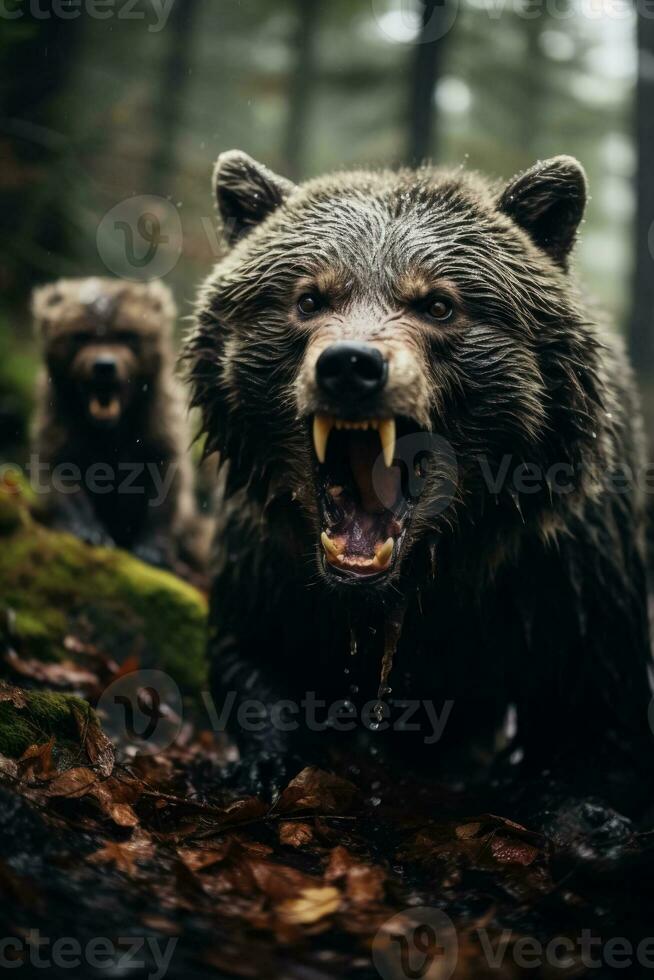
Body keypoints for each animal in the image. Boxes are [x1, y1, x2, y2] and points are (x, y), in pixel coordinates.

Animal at [30, 274, 204, 576]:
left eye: (128, 335)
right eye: (81, 335)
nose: (104, 366)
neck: (110, 432)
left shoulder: (158, 428)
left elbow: (167, 483)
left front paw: (153, 548)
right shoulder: (58, 425)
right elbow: (58, 474)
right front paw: (88, 531)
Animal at [187, 149, 652, 852]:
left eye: (438, 303)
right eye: (309, 297)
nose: (350, 366)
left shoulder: (567, 573)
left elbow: (596, 710)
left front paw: (589, 820)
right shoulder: (273, 558)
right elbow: (256, 651)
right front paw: (269, 763)